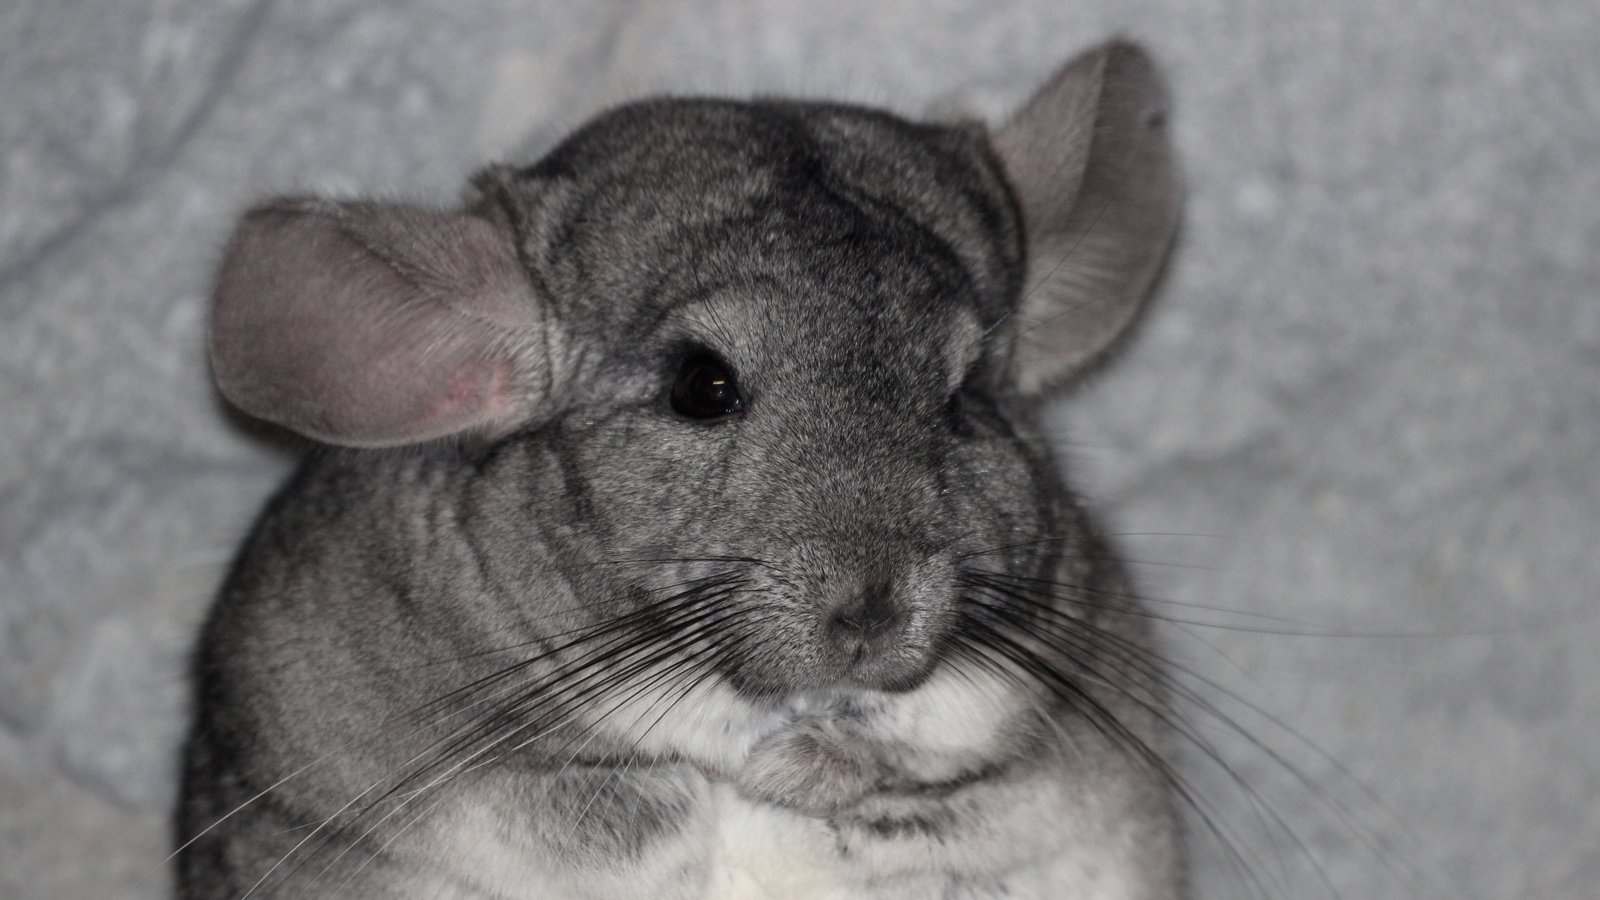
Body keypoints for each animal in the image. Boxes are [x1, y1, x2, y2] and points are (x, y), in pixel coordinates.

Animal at [175, 38, 1185, 900]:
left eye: (966, 398)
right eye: (702, 386)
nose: (871, 616)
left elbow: (945, 741)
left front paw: (789, 770)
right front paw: (726, 780)